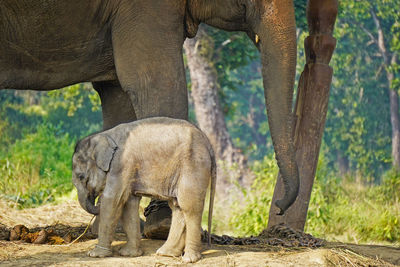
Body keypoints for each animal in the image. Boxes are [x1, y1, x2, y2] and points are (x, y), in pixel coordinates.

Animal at [0, 0, 300, 239]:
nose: (279, 207)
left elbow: (117, 95)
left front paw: (113, 225)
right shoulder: (146, 7)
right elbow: (160, 85)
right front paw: (162, 226)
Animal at [72, 118, 216, 264]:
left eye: (81, 177)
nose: (96, 202)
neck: (104, 135)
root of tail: (208, 143)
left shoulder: (121, 165)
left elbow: (112, 200)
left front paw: (95, 254)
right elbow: (128, 203)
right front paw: (129, 254)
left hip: (193, 165)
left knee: (189, 207)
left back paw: (188, 259)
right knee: (177, 206)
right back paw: (166, 254)